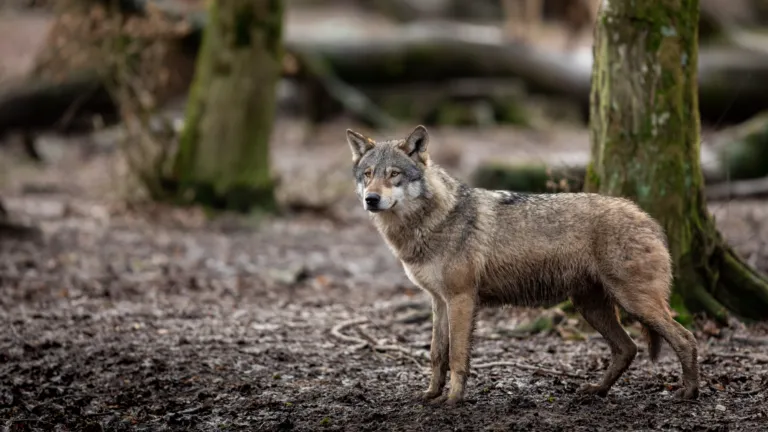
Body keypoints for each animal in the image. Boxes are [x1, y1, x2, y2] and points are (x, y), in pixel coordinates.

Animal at [345, 125, 700, 406]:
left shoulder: (461, 299)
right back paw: (597, 390)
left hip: (634, 302)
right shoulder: (438, 301)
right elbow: (436, 354)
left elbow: (457, 355)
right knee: (628, 348)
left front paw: (454, 399)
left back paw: (689, 393)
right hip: (591, 306)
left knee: (685, 338)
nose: (371, 200)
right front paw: (431, 395)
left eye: (394, 174)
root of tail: (647, 218)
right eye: (368, 175)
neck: (431, 222)